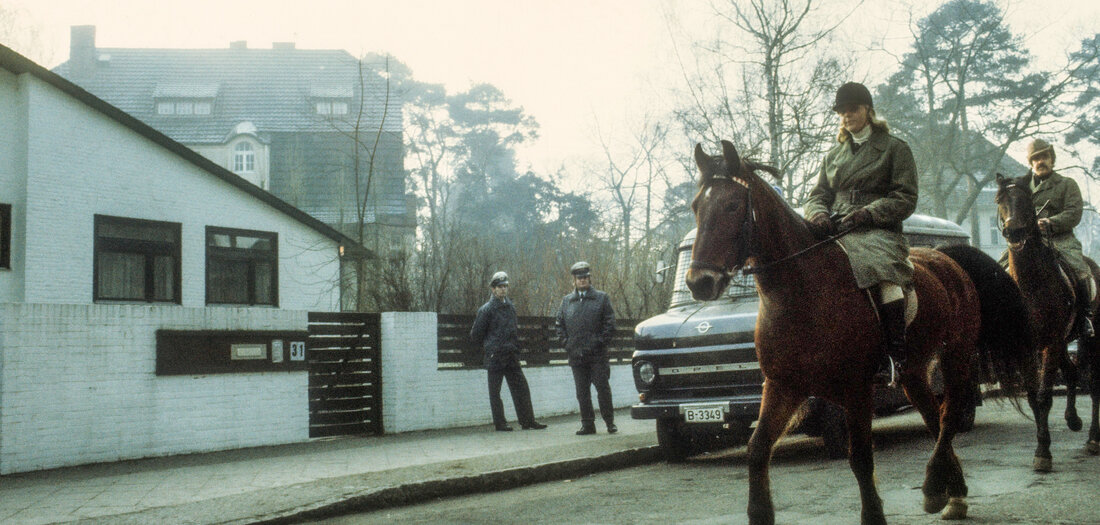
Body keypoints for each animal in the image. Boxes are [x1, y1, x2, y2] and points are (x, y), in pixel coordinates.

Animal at [686, 140, 1029, 521]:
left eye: (732, 205)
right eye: (697, 206)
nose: (700, 283)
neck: (803, 292)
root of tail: (948, 258)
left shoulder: (856, 390)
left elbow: (861, 458)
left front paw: (874, 515)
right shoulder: (782, 387)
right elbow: (758, 449)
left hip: (956, 356)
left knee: (949, 415)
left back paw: (933, 487)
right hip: (912, 373)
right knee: (935, 417)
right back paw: (950, 493)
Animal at [998, 173, 1100, 464]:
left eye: (1025, 200)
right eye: (1000, 201)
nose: (1013, 232)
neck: (1029, 286)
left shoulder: (1049, 344)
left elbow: (1044, 396)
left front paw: (1043, 452)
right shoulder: (1028, 347)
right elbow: (1034, 396)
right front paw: (1042, 446)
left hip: (1089, 341)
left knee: (1094, 385)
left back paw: (1092, 438)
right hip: (1063, 342)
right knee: (1072, 372)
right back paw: (1073, 420)